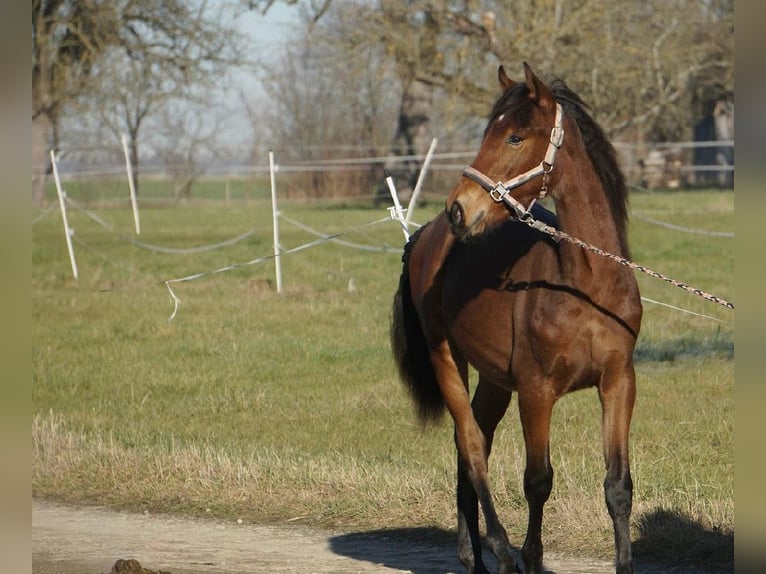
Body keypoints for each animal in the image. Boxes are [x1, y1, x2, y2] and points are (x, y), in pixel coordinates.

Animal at [392, 60, 644, 572]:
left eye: (515, 137)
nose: (459, 208)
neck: (585, 284)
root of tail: (425, 235)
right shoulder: (536, 392)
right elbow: (538, 481)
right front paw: (529, 556)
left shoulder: (618, 382)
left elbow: (618, 486)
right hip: (447, 358)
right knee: (471, 446)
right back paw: (499, 549)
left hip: (493, 381)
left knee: (475, 443)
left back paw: (473, 554)